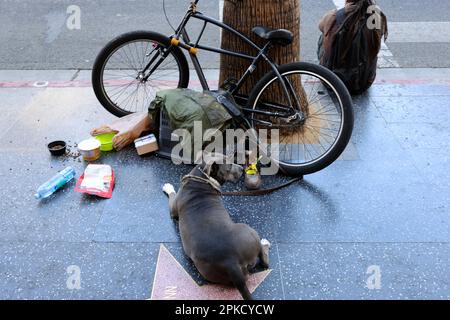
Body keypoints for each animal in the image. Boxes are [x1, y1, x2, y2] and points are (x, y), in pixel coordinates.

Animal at [164, 157, 270, 300]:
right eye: (229, 167)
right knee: (264, 260)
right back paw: (265, 243)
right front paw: (168, 187)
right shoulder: (173, 211)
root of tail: (231, 263)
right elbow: (172, 193)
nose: (242, 168)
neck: (202, 178)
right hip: (250, 231)